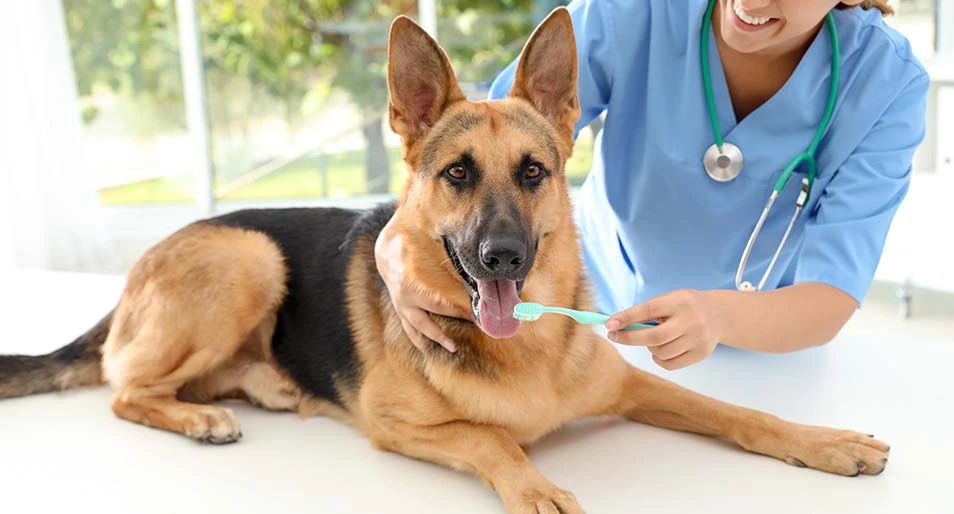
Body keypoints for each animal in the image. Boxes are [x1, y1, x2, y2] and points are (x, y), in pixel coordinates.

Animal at [3, 8, 888, 512]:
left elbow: (736, 412)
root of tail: (137, 275)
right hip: (248, 259)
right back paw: (196, 416)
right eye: (457, 174)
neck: (522, 349)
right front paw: (537, 489)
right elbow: (495, 442)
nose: (501, 258)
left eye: (532, 173)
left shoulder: (635, 384)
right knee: (124, 387)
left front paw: (825, 442)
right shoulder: (397, 426)